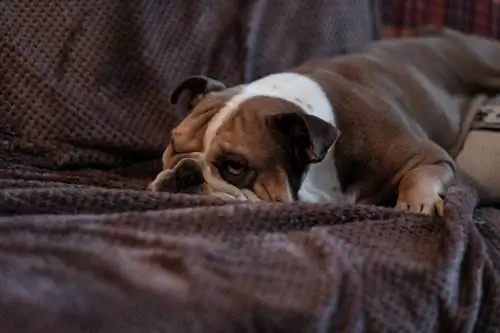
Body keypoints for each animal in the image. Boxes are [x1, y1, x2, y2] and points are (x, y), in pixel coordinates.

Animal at [147, 29, 500, 215]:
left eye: (235, 166)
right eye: (173, 147)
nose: (185, 172)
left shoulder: (432, 156)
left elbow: (417, 176)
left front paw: (417, 203)